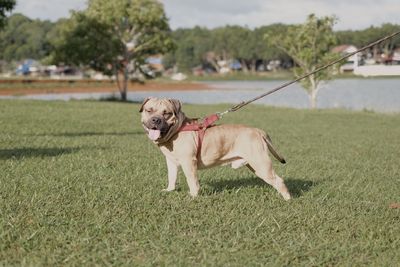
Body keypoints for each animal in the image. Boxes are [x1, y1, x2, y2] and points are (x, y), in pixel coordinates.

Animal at [140, 97, 290, 200]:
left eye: (167, 113)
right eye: (149, 110)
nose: (156, 120)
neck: (177, 129)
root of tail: (258, 131)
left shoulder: (188, 162)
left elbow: (192, 180)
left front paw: (193, 196)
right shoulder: (171, 161)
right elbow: (171, 176)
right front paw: (170, 190)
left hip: (261, 163)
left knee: (279, 180)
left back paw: (287, 199)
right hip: (255, 165)